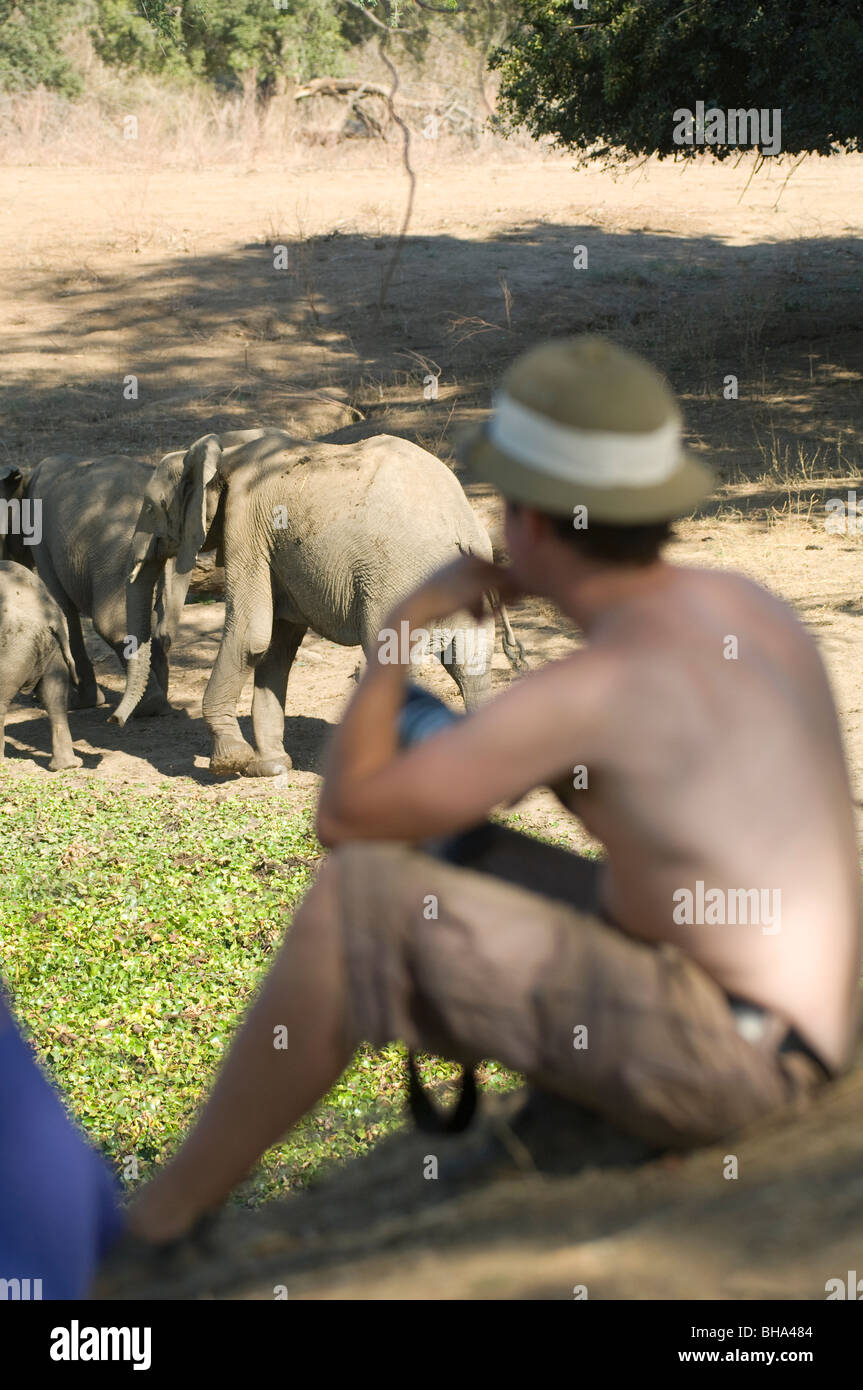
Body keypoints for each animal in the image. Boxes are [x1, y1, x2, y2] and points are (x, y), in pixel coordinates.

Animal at [0, 455, 191, 717]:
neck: (26, 478)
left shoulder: (44, 546)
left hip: (117, 554)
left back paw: (148, 707)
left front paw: (81, 703)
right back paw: (158, 702)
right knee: (164, 628)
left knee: (111, 625)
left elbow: (64, 607)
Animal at [111, 428, 522, 778]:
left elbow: (251, 634)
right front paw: (271, 768)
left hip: (397, 581)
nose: (115, 722)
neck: (227, 447)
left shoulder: (246, 526)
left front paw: (229, 763)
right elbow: (277, 644)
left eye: (149, 508)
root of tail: (465, 529)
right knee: (470, 665)